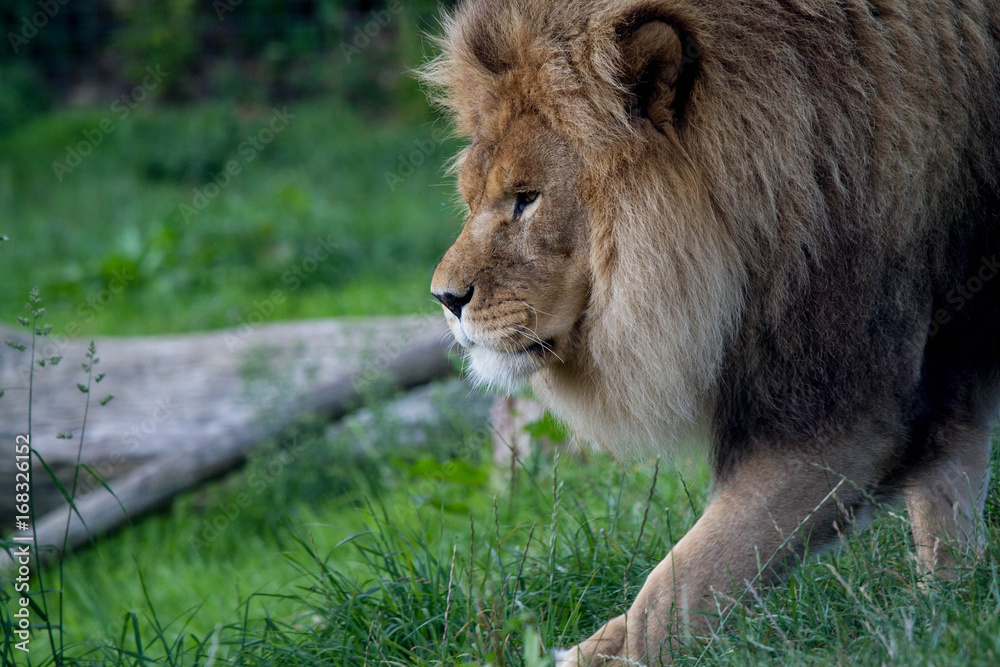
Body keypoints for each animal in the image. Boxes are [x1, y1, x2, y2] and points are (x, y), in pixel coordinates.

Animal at [425, 0, 1000, 664]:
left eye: (526, 199)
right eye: (472, 196)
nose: (445, 299)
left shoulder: (851, 403)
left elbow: (676, 588)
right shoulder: (947, 357)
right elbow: (946, 505)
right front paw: (950, 611)